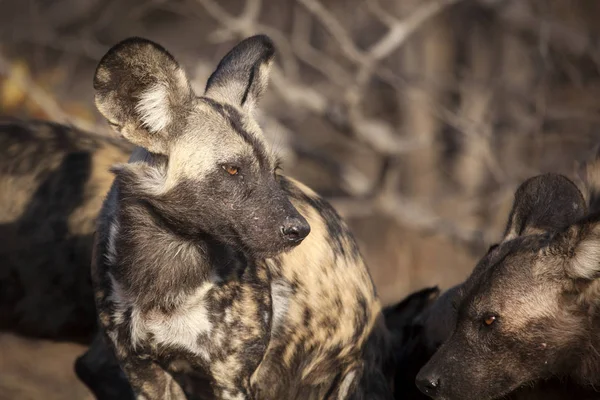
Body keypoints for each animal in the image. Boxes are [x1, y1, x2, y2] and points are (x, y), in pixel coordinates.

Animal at [86, 36, 392, 398]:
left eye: (274, 170)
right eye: (233, 169)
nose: (300, 230)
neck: (167, 263)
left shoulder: (232, 378)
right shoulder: (142, 373)